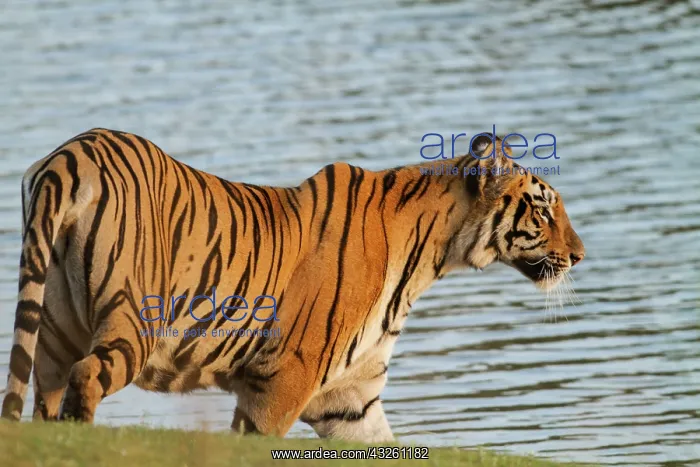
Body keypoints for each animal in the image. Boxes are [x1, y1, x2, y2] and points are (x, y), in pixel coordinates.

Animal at [1, 128, 584, 442]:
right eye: (543, 209)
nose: (580, 255)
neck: (431, 256)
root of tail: (71, 154)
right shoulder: (282, 378)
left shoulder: (350, 398)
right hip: (134, 320)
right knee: (86, 377)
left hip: (54, 330)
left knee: (43, 396)